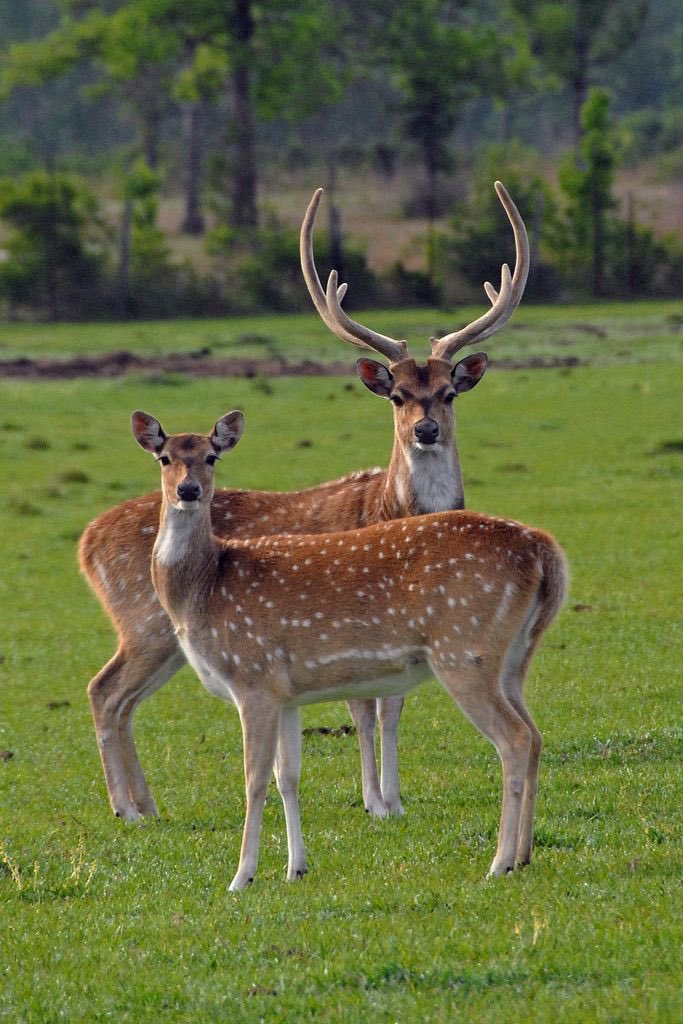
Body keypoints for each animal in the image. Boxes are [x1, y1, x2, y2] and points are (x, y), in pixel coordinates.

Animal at [78, 182, 528, 823]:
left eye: (448, 392)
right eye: (396, 394)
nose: (426, 430)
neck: (388, 509)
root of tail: (86, 543)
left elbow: (393, 704)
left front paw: (394, 798)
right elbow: (365, 707)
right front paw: (375, 801)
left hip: (165, 638)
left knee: (121, 697)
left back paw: (146, 806)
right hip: (143, 622)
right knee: (104, 689)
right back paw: (129, 809)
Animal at [132, 407, 565, 888]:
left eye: (212, 456)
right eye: (164, 458)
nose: (188, 491)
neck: (203, 589)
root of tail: (545, 551)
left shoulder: (253, 677)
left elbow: (254, 778)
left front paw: (242, 876)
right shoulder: (285, 694)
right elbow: (288, 776)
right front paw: (295, 868)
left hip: (464, 650)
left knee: (514, 738)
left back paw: (499, 861)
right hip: (511, 658)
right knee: (535, 734)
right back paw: (524, 855)